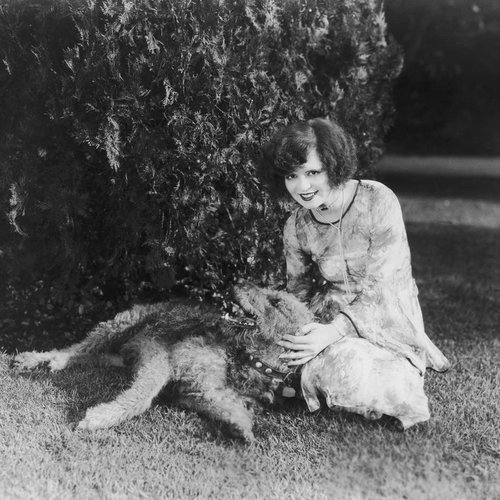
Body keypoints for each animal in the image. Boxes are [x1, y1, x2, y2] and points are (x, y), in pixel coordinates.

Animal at [15, 282, 430, 442]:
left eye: (275, 301)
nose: (237, 283)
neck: (248, 358)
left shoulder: (199, 390)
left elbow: (227, 404)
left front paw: (241, 428)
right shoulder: (161, 357)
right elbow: (140, 396)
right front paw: (99, 418)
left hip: (121, 345)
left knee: (96, 356)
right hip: (121, 323)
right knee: (74, 349)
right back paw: (39, 361)